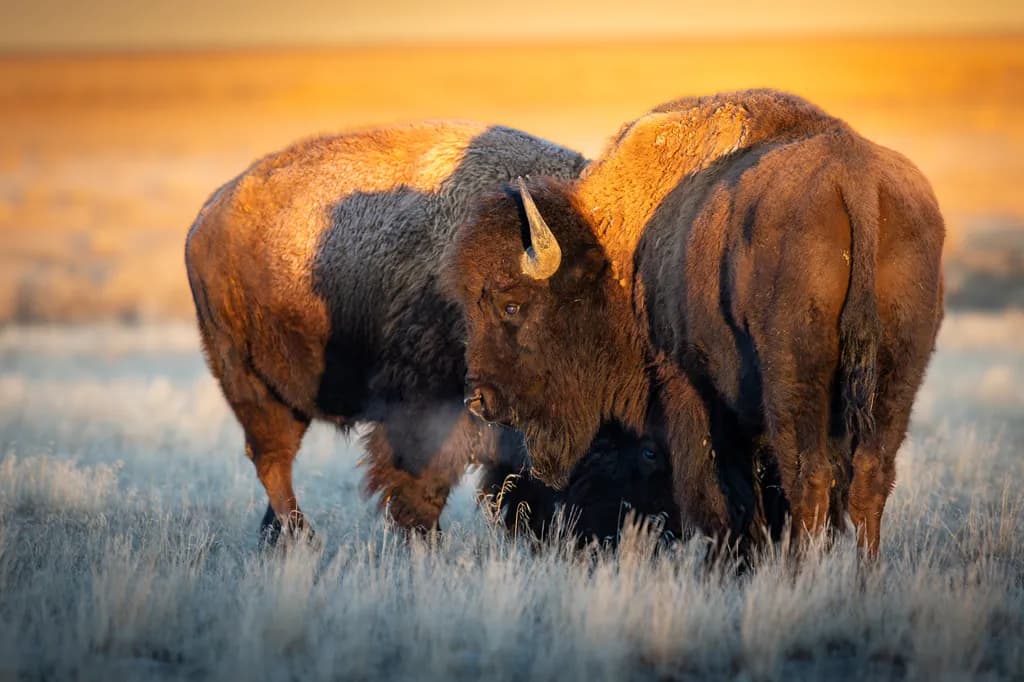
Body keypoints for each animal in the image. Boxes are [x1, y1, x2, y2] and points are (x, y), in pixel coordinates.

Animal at [185, 121, 588, 541]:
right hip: (249, 380)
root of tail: (205, 220)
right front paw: (423, 542)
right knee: (272, 458)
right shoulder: (426, 403)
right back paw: (303, 539)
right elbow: (421, 480)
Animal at [446, 90, 945, 557]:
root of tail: (854, 179)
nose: (479, 399)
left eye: (511, 305)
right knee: (869, 478)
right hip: (897, 376)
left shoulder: (687, 388)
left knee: (809, 479)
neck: (616, 259)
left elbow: (715, 494)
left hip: (794, 378)